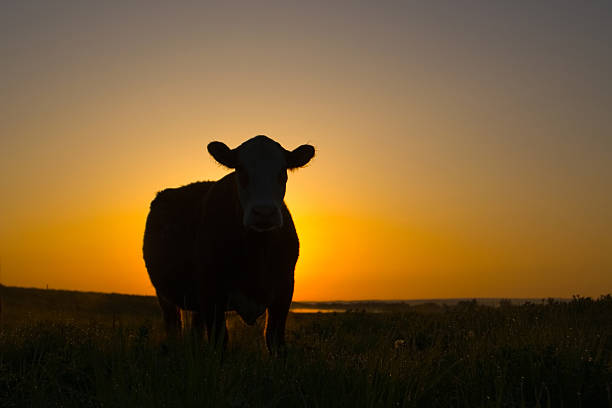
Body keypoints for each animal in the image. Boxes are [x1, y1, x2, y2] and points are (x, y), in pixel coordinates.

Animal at [143, 135, 316, 352]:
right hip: (165, 295)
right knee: (174, 327)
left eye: (282, 170)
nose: (264, 212)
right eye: (240, 169)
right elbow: (219, 341)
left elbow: (275, 340)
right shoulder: (211, 293)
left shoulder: (284, 291)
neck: (257, 252)